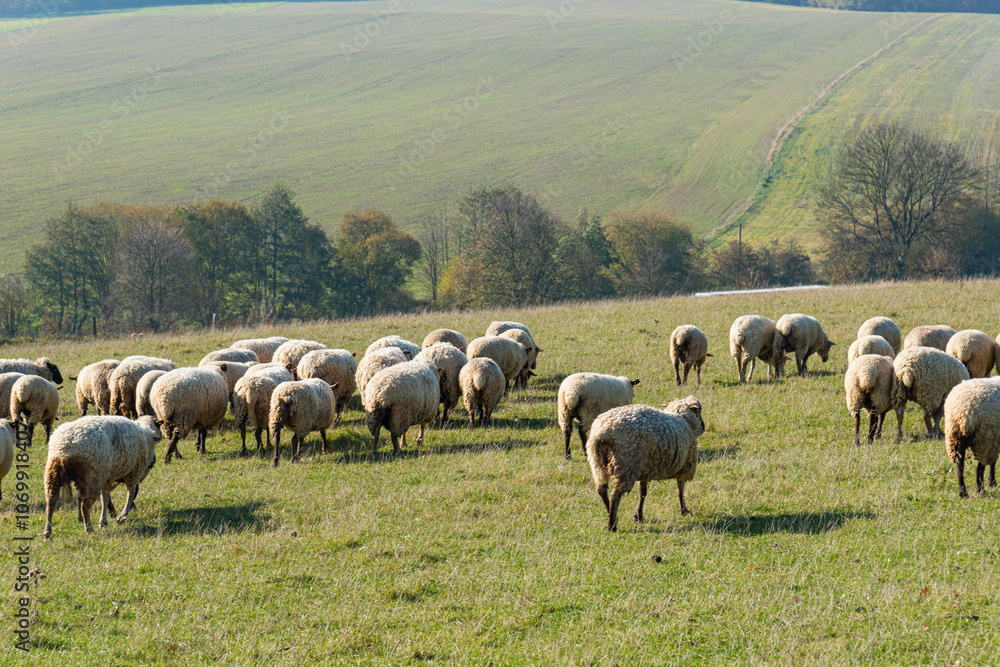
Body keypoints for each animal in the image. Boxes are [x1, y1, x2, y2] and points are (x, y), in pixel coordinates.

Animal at [586, 396, 705, 531]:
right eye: (698, 411)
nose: (703, 427)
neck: (684, 419)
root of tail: (602, 432)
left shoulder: (645, 468)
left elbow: (642, 492)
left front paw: (638, 516)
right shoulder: (685, 466)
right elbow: (680, 489)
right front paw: (684, 510)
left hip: (598, 461)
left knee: (601, 489)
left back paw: (609, 511)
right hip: (627, 464)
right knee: (615, 494)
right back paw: (612, 524)